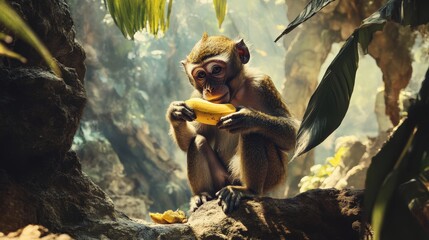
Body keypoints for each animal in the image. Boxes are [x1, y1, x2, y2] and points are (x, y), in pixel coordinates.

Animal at [166, 32, 296, 213]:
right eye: (201, 75)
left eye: (216, 70)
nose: (210, 89)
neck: (233, 96)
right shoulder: (198, 97)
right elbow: (193, 138)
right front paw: (175, 113)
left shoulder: (262, 83)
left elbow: (291, 136)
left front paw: (249, 118)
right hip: (221, 180)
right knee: (198, 141)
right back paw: (202, 194)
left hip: (273, 178)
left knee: (253, 134)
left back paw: (248, 190)